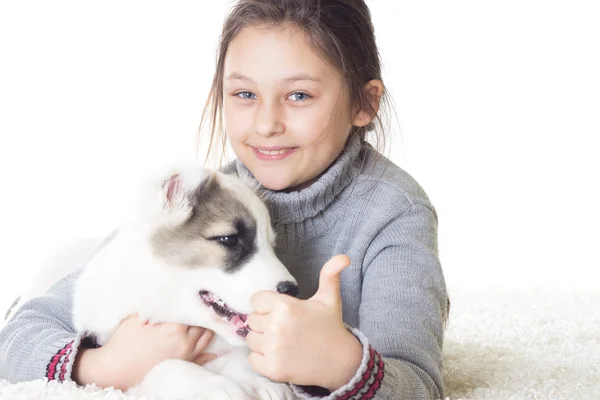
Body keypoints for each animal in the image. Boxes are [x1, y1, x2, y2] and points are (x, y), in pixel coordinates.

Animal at [74, 164, 298, 398]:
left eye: (271, 245)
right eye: (229, 239)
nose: (292, 290)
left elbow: (236, 362)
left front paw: (262, 383)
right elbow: (167, 365)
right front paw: (221, 387)